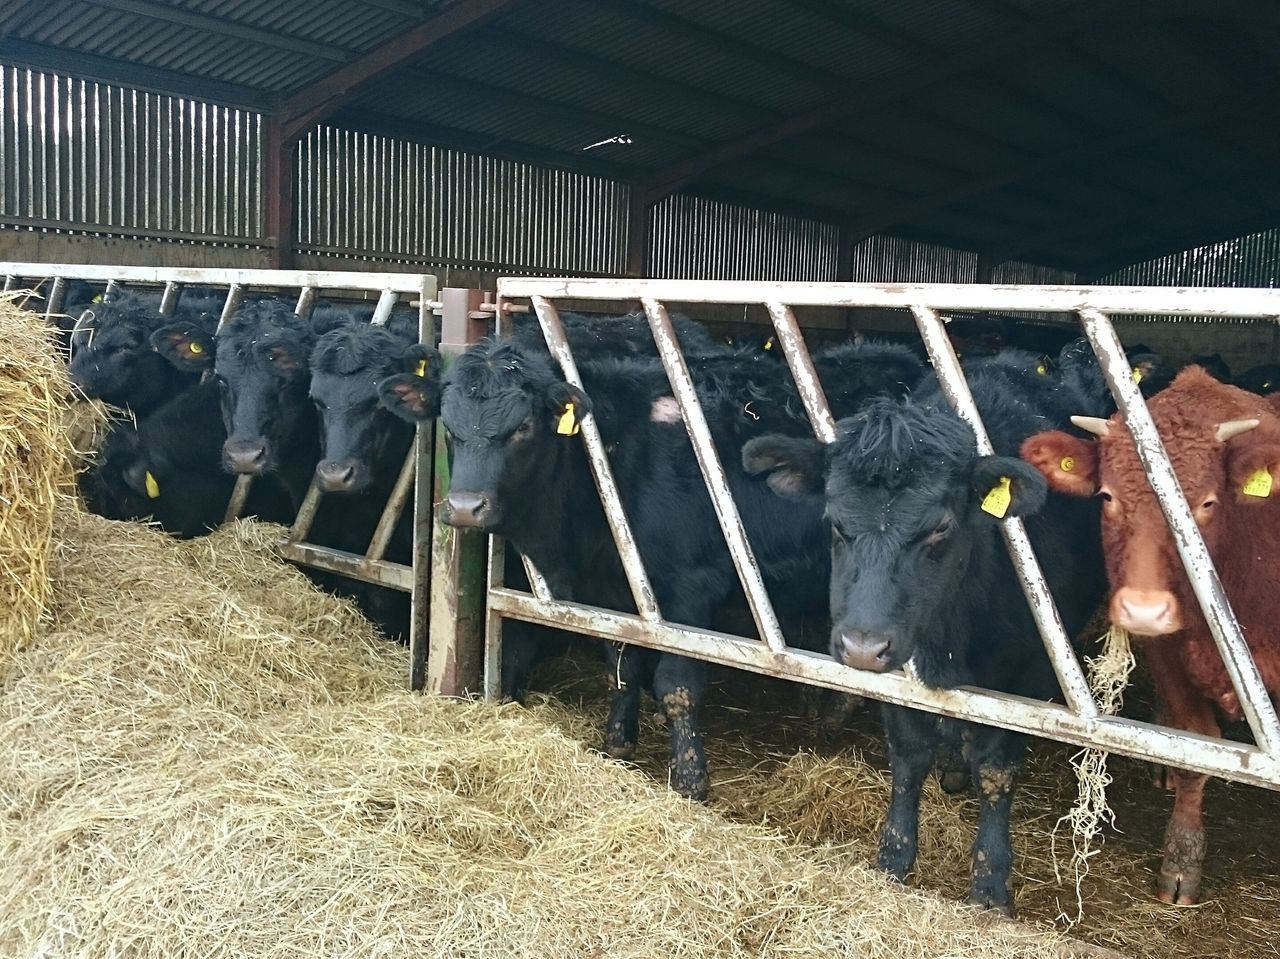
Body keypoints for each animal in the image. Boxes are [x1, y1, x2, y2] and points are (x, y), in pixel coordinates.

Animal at [437, 332, 921, 798]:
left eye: (523, 426)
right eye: (448, 427)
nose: (465, 508)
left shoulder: (688, 590)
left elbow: (677, 685)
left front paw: (689, 779)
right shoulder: (618, 594)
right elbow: (623, 669)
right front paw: (617, 744)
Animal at [747, 355, 1105, 911]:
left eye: (939, 527)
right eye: (834, 521)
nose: (862, 647)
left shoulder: (1030, 671)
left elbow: (996, 769)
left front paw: (990, 883)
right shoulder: (899, 669)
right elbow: (909, 756)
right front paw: (893, 858)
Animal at [1018, 366, 1280, 906]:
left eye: (1207, 502)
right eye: (1107, 496)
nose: (1143, 609)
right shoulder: (1169, 655)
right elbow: (1194, 749)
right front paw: (1181, 860)